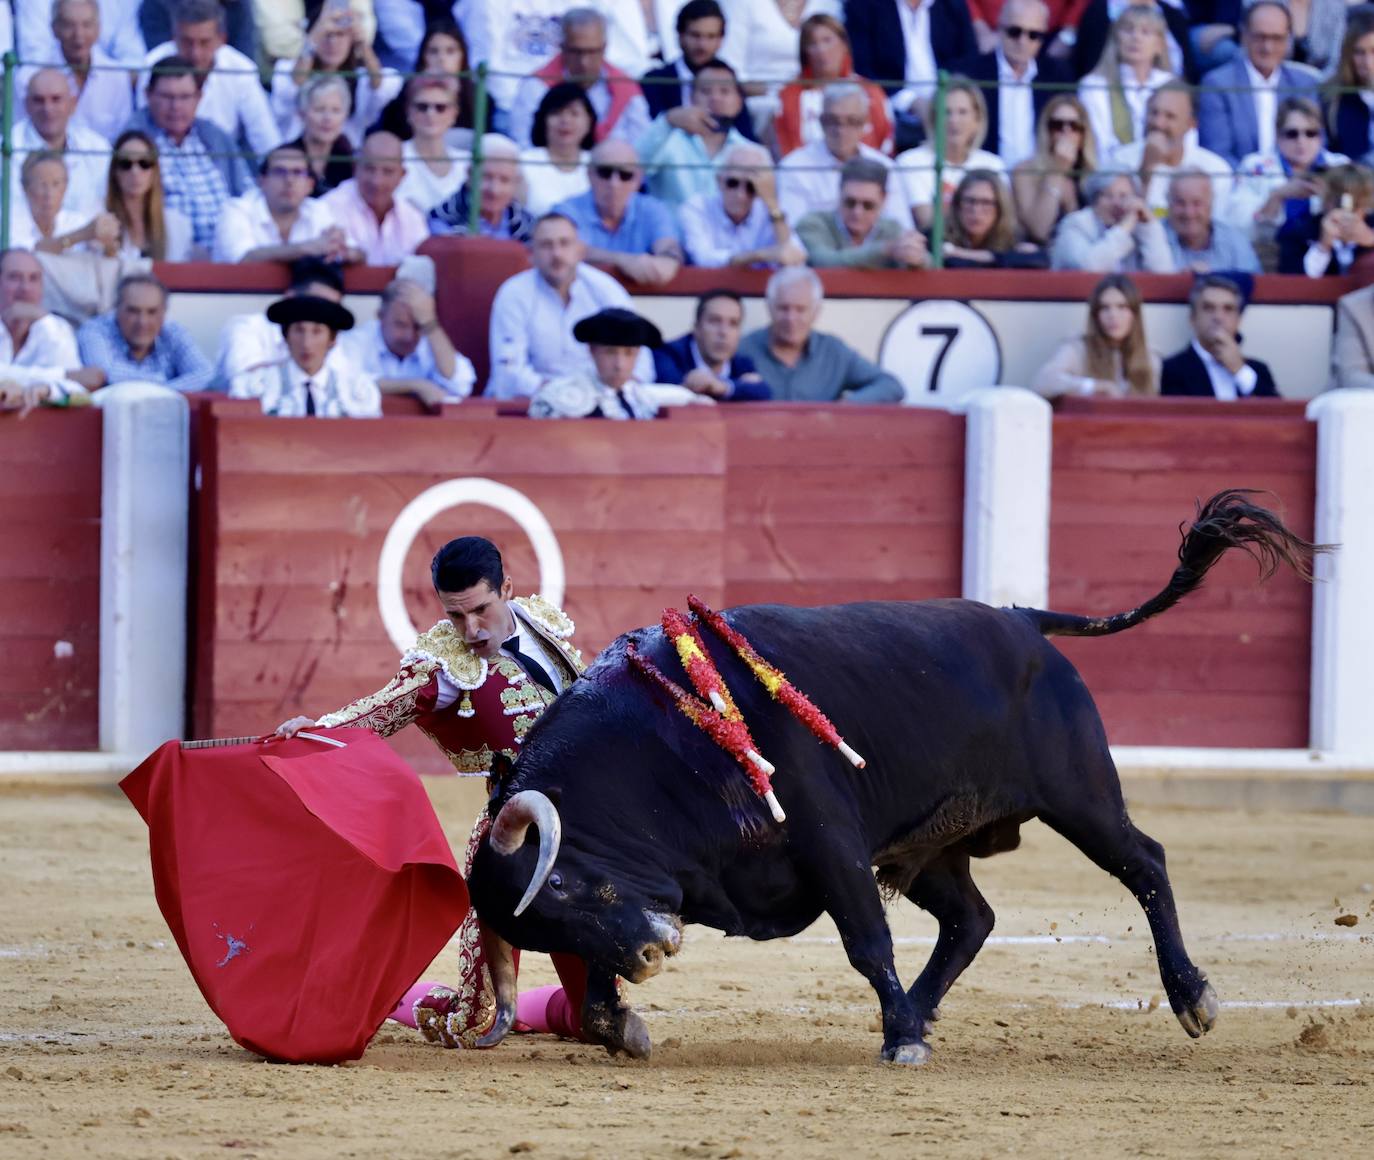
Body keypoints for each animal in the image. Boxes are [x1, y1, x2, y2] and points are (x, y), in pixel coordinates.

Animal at [472, 483, 1319, 1066]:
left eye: (558, 883)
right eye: (539, 922)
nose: (654, 957)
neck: (667, 740)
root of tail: (1021, 621)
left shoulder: (829, 838)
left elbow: (864, 940)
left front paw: (902, 1041)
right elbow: (594, 988)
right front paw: (622, 1025)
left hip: (1080, 795)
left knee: (1144, 862)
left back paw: (1192, 998)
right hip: (930, 846)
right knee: (972, 918)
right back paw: (916, 1012)